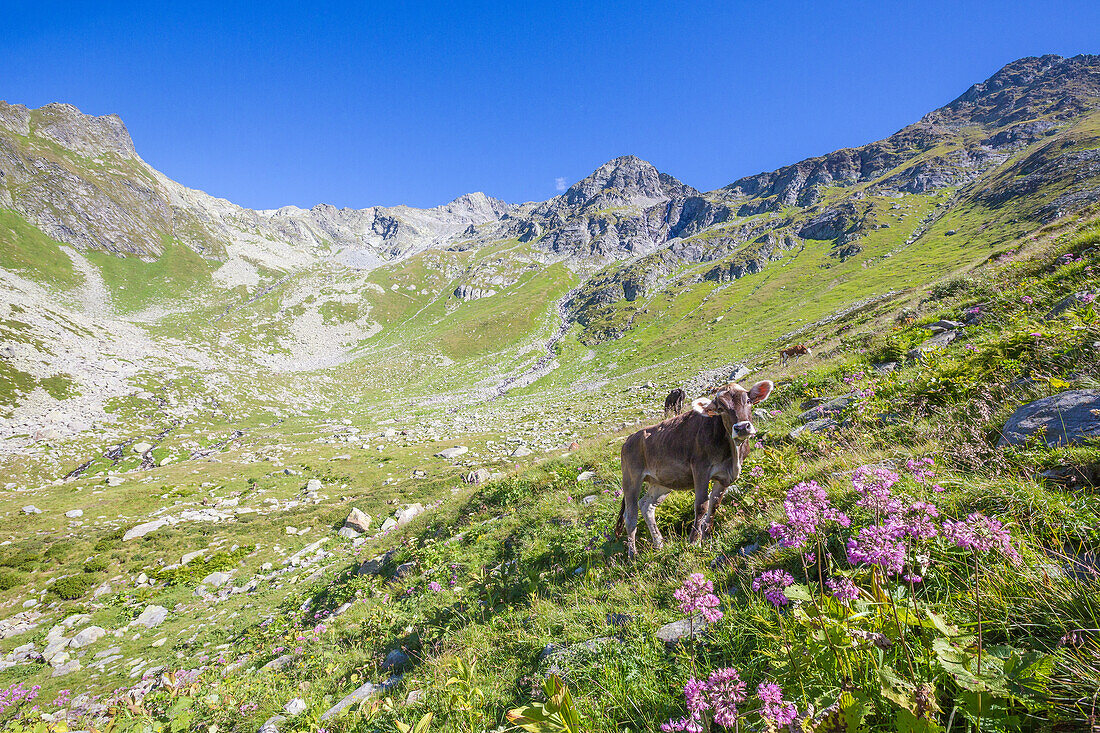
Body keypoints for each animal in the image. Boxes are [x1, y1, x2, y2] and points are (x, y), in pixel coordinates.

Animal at [611, 378, 774, 556]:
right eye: (721, 409)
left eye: (749, 401)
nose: (742, 427)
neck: (733, 454)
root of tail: (629, 439)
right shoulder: (700, 469)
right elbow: (702, 505)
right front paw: (694, 541)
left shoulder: (725, 477)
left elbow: (714, 505)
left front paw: (707, 537)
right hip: (631, 479)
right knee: (630, 516)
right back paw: (632, 555)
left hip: (661, 482)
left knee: (646, 505)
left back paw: (659, 543)